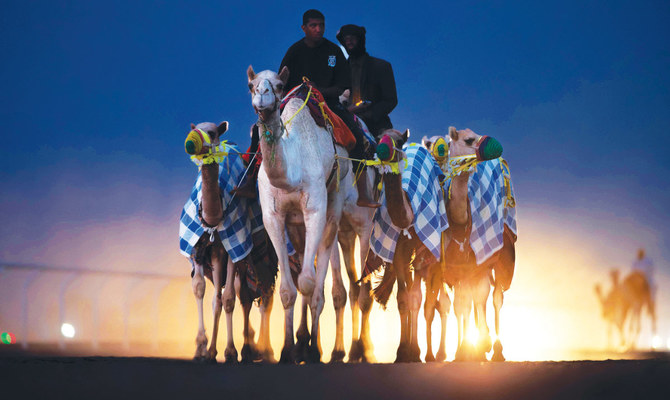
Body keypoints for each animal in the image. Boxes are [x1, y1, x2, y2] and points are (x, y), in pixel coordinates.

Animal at [249, 66, 350, 362]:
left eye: (279, 85)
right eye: (251, 85)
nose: (262, 96)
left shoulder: (315, 209)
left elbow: (308, 283)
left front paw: (310, 349)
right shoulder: (273, 216)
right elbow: (287, 290)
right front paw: (286, 350)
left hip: (335, 201)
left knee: (320, 268)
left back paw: (314, 346)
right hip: (296, 226)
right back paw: (301, 341)